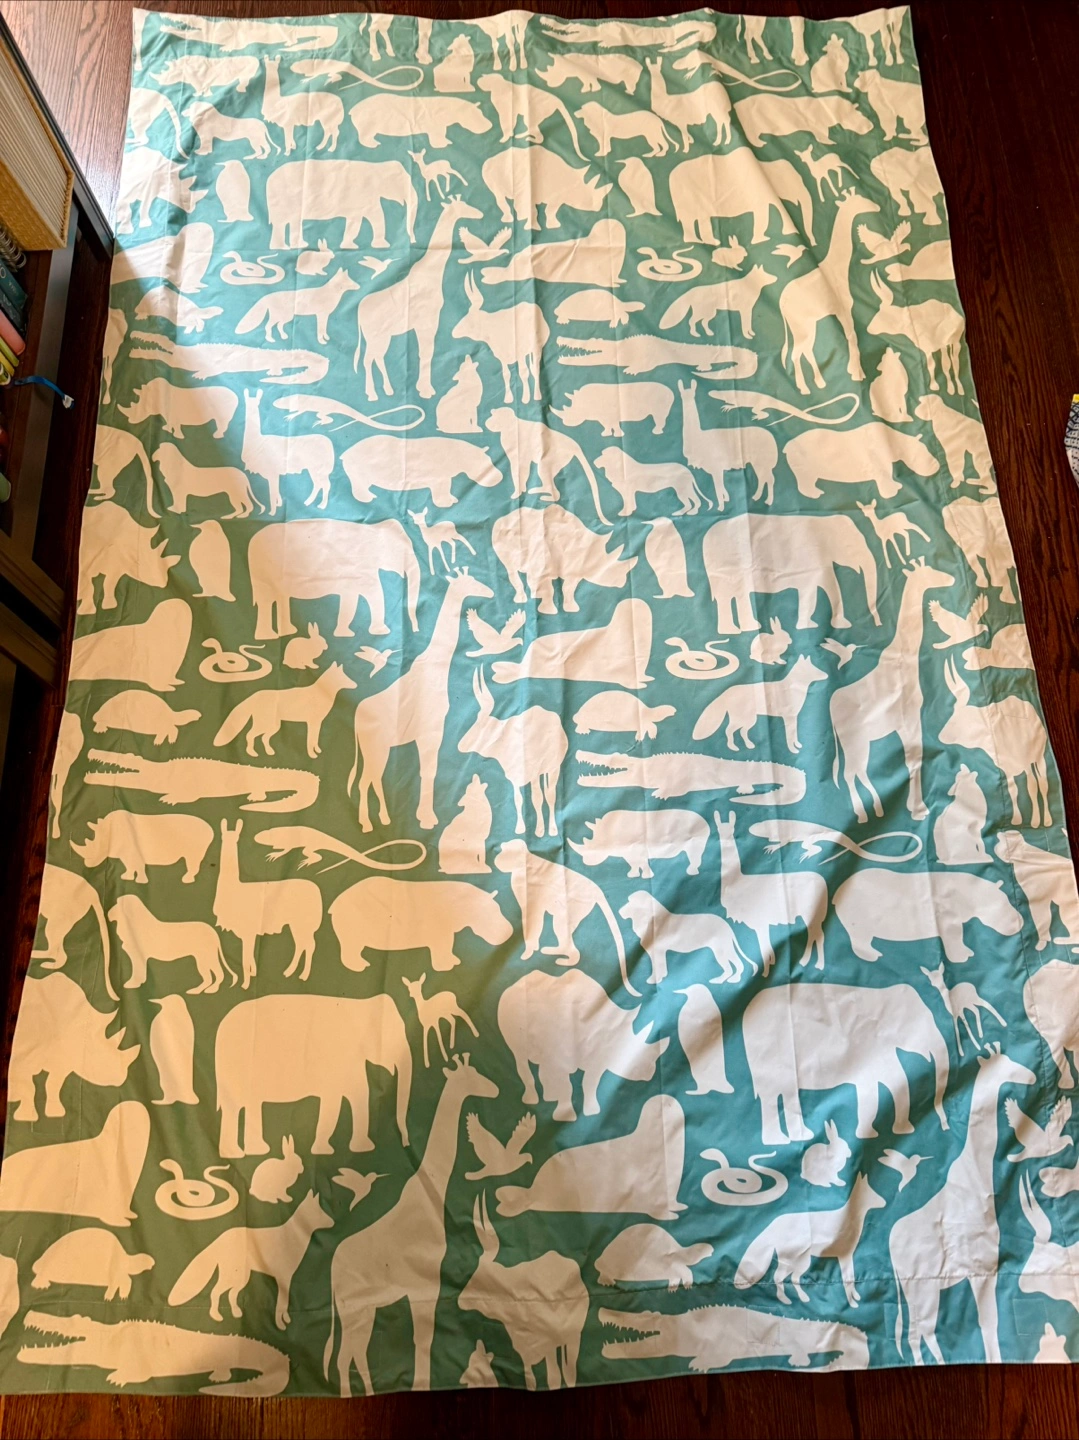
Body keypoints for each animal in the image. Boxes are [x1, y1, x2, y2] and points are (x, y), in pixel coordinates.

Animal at [213, 819, 323, 987]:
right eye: (223, 836)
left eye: (237, 837)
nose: (229, 842)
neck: (234, 890)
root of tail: (317, 890)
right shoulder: (249, 931)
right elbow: (250, 957)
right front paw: (253, 974)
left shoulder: (247, 930)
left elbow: (245, 958)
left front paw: (245, 984)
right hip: (296, 923)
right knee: (301, 944)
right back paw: (289, 971)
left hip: (305, 922)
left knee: (309, 945)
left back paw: (303, 975)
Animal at [452, 272, 549, 406]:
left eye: (470, 318)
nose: (453, 332)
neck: (493, 328)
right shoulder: (502, 357)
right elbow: (506, 375)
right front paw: (508, 399)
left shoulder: (520, 353)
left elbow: (524, 372)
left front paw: (525, 398)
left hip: (536, 349)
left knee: (535, 369)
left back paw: (537, 395)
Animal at [459, 668, 569, 838]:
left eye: (482, 724)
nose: (461, 745)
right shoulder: (514, 777)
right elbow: (518, 800)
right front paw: (520, 828)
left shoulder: (535, 773)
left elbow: (538, 798)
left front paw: (539, 830)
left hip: (553, 768)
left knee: (550, 795)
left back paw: (552, 828)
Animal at [940, 657, 1050, 827]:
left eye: (959, 718)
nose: (940, 736)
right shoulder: (1007, 769)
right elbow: (1013, 791)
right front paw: (1016, 819)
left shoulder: (1025, 763)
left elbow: (1032, 787)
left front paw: (1035, 821)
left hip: (1039, 757)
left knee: (1043, 784)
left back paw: (1047, 819)